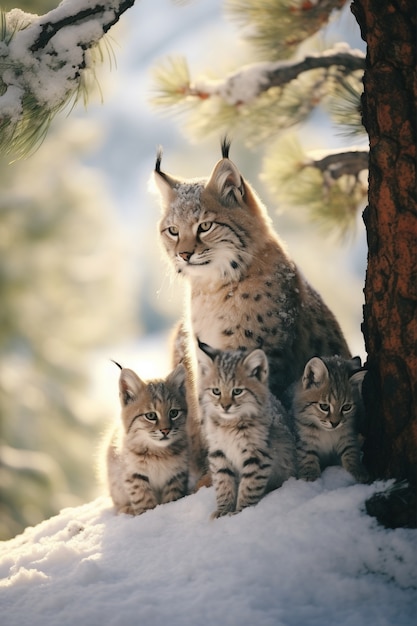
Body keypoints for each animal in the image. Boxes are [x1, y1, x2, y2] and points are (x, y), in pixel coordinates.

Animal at [105, 360, 188, 512]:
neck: (158, 452)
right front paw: (148, 513)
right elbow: (143, 500)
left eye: (173, 413)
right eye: (150, 416)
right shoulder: (133, 475)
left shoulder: (176, 475)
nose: (166, 430)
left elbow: (172, 498)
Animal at [198, 338, 296, 516]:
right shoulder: (218, 452)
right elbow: (223, 482)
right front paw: (223, 511)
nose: (225, 406)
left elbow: (249, 485)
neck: (228, 424)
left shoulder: (258, 454)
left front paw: (241, 512)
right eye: (216, 391)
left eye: (237, 391)